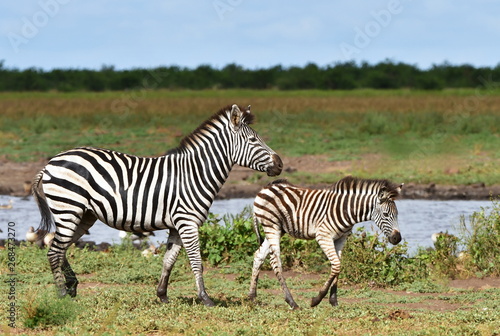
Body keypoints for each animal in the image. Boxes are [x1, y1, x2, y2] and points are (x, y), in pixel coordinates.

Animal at [31, 103, 282, 306]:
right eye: (253, 140)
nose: (279, 164)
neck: (195, 173)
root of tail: (52, 161)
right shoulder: (188, 222)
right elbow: (196, 262)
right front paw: (205, 298)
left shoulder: (177, 225)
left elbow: (168, 260)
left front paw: (162, 295)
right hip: (68, 208)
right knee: (55, 251)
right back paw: (62, 293)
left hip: (83, 214)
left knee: (59, 245)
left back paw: (72, 286)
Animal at [249, 176, 402, 310]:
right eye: (386, 215)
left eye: (397, 214)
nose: (397, 239)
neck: (346, 210)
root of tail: (266, 187)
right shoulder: (323, 236)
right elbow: (336, 265)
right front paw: (317, 299)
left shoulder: (341, 238)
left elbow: (338, 266)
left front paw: (333, 301)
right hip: (271, 226)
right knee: (276, 261)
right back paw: (291, 302)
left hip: (278, 229)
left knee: (259, 255)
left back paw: (252, 297)